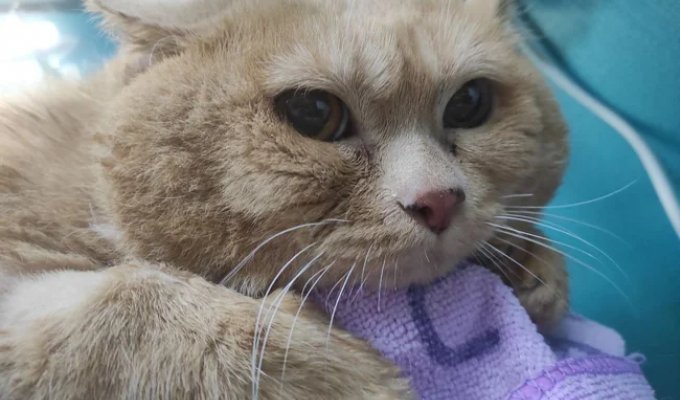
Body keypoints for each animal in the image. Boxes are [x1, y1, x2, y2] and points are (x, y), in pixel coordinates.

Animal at [0, 1, 568, 398]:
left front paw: (532, 265)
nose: (438, 200)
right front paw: (346, 374)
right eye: (315, 111)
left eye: (470, 102)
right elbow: (137, 298)